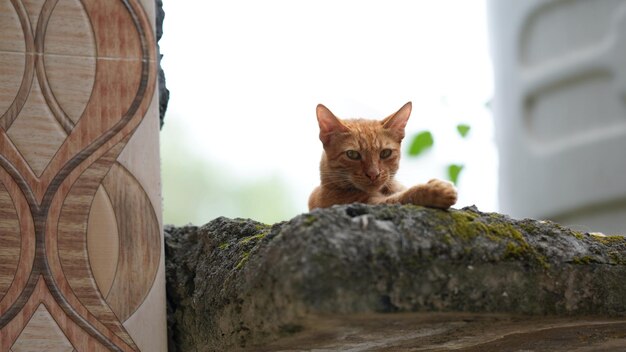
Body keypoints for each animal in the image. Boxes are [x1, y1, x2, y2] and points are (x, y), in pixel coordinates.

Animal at [308, 102, 458, 212]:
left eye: (385, 153)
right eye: (352, 154)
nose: (373, 174)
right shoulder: (368, 203)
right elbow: (401, 198)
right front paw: (433, 190)